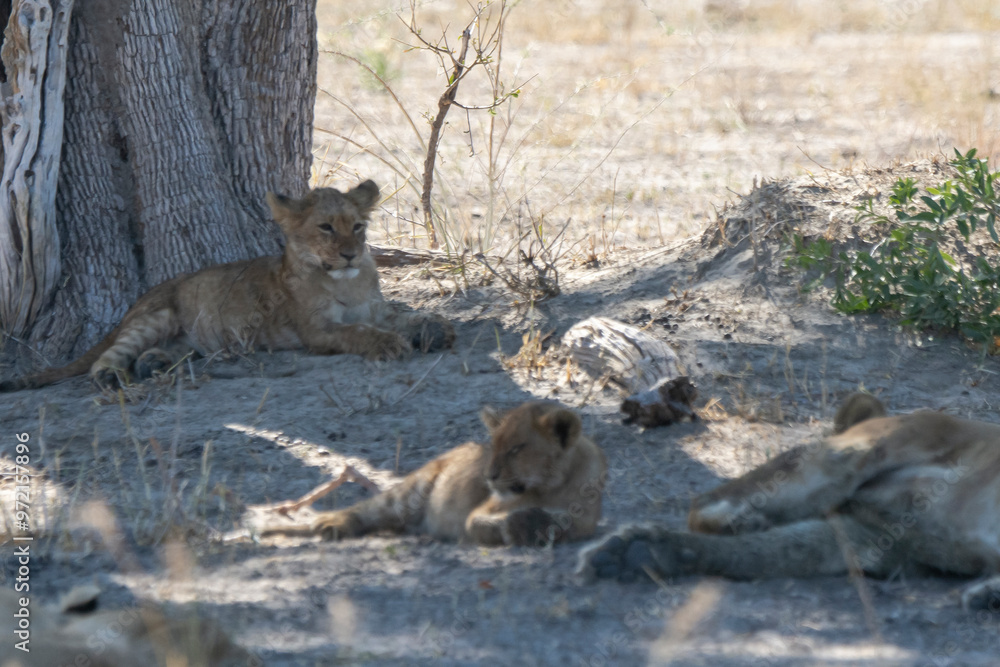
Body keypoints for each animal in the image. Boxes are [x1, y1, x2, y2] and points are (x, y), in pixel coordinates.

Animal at [0, 180, 454, 392]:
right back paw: (113, 376)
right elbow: (357, 331)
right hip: (156, 315)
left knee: (166, 352)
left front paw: (435, 329)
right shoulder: (317, 330)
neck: (349, 282)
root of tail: (133, 304)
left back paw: (153, 364)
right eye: (326, 228)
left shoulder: (378, 308)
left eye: (357, 227)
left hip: (189, 338)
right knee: (107, 357)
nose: (349, 254)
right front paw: (388, 344)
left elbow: (405, 315)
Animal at [263, 401, 608, 546]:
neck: (551, 485)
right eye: (494, 444)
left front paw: (541, 525)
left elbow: (565, 524)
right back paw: (327, 525)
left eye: (516, 449)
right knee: (366, 510)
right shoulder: (478, 514)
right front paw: (527, 524)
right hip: (409, 494)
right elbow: (486, 524)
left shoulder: (583, 523)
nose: (489, 476)